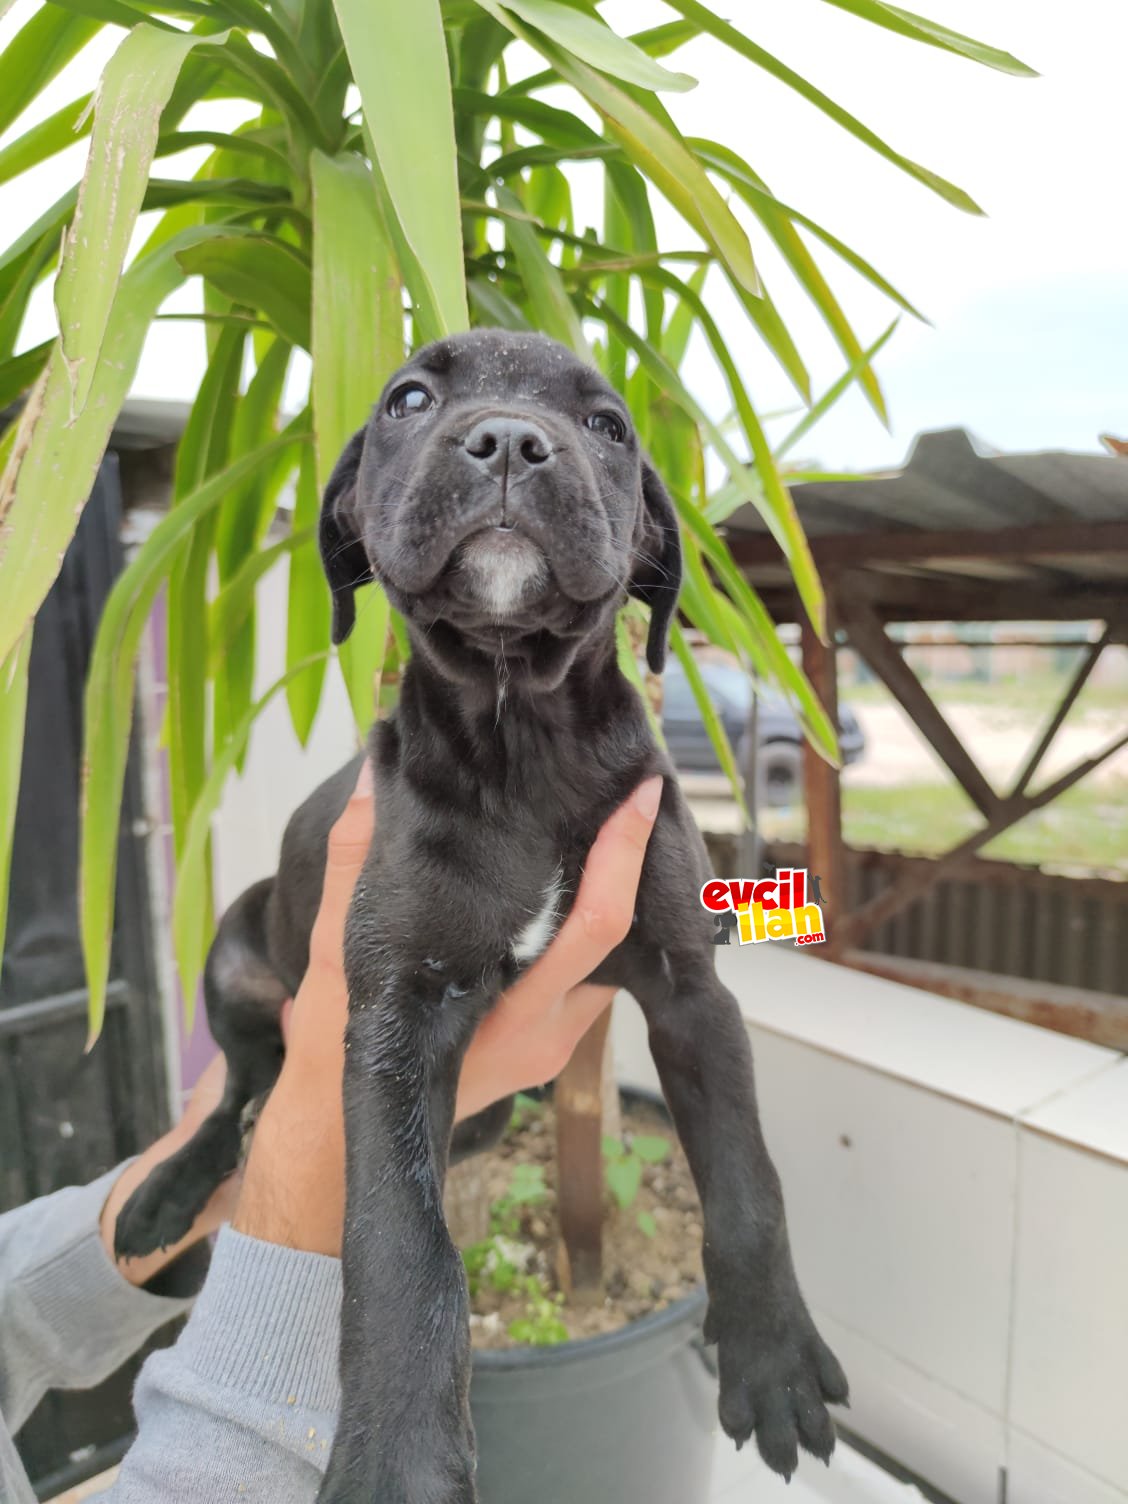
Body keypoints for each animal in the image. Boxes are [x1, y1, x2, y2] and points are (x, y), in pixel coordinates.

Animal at [121, 332, 848, 1504]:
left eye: (608, 426)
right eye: (409, 399)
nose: (508, 440)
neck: (524, 733)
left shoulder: (691, 989)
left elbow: (747, 1181)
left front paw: (773, 1358)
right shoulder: (395, 1015)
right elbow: (401, 1246)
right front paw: (398, 1460)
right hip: (230, 955)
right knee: (236, 1095)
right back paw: (163, 1191)